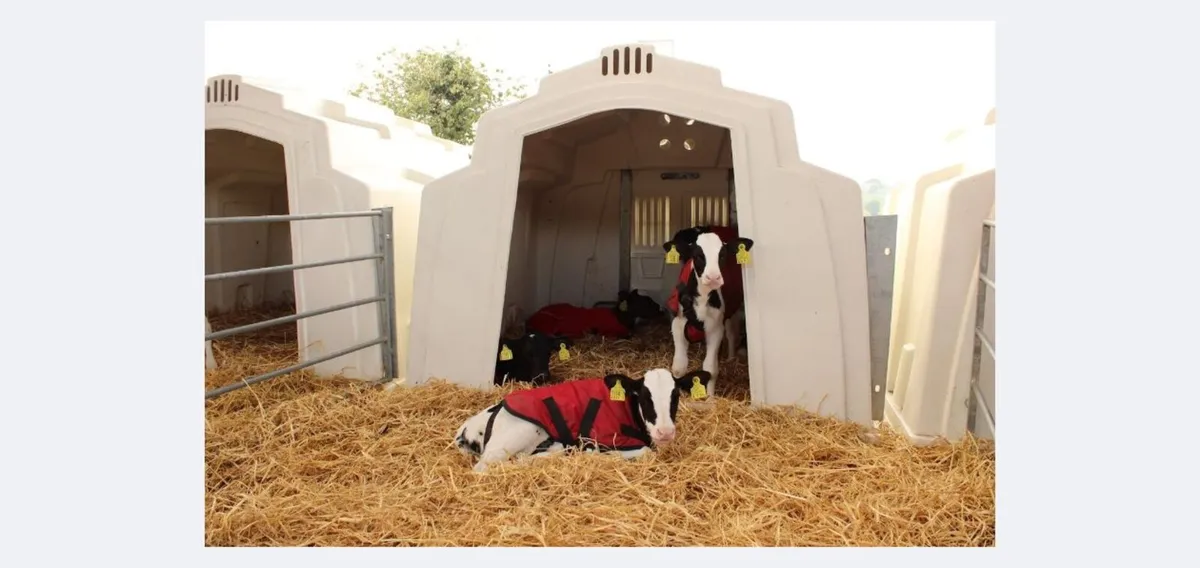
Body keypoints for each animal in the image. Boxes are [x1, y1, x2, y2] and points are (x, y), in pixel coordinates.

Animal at [454, 368, 714, 472]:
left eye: (675, 396)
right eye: (644, 397)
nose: (665, 432)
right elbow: (643, 452)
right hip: (519, 434)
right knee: (486, 467)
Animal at [661, 225, 754, 396]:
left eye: (722, 255)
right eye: (698, 255)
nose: (713, 277)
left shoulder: (715, 328)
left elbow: (710, 368)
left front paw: (710, 397)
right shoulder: (678, 323)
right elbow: (678, 367)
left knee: (731, 332)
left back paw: (730, 358)